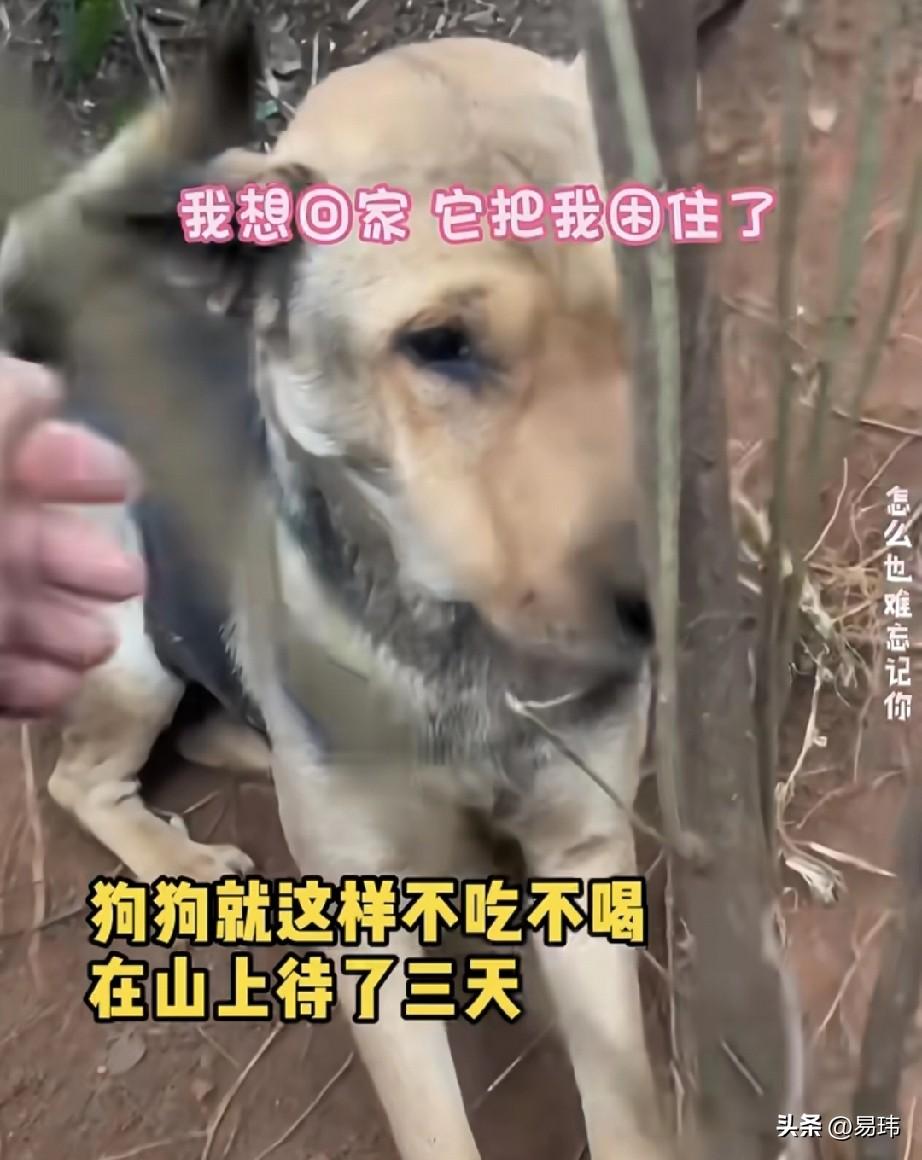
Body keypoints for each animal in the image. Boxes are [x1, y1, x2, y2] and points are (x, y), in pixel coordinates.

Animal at [0, 19, 666, 1160]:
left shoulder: (582, 849)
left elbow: (623, 1111)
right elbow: (434, 1124)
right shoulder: (369, 933)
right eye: (438, 344)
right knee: (81, 780)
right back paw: (177, 855)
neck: (451, 646)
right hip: (123, 643)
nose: (657, 603)